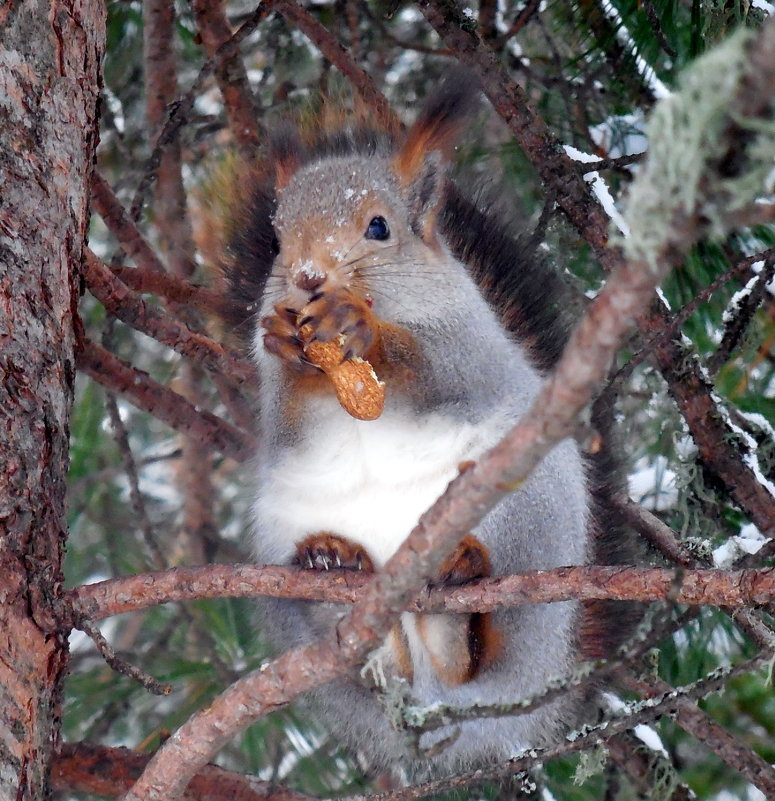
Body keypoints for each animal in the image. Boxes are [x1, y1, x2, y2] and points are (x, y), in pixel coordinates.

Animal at [212, 79, 636, 776]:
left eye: (378, 227)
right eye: (277, 240)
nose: (306, 278)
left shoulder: (466, 343)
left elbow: (436, 371)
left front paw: (363, 330)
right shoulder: (280, 407)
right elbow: (288, 420)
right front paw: (286, 341)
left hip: (530, 517)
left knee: (484, 642)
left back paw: (460, 594)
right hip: (282, 534)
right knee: (380, 660)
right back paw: (339, 572)